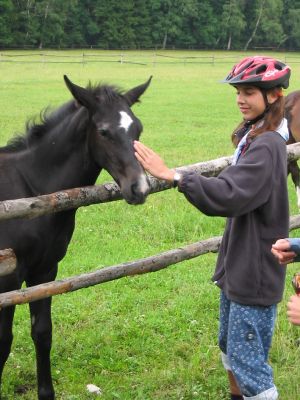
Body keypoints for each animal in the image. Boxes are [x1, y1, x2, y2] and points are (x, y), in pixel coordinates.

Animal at [0, 76, 150, 400]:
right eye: (103, 132)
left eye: (138, 129)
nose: (140, 188)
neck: (30, 189)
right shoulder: (7, 279)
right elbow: (4, 341)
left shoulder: (45, 271)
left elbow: (42, 332)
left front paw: (46, 392)